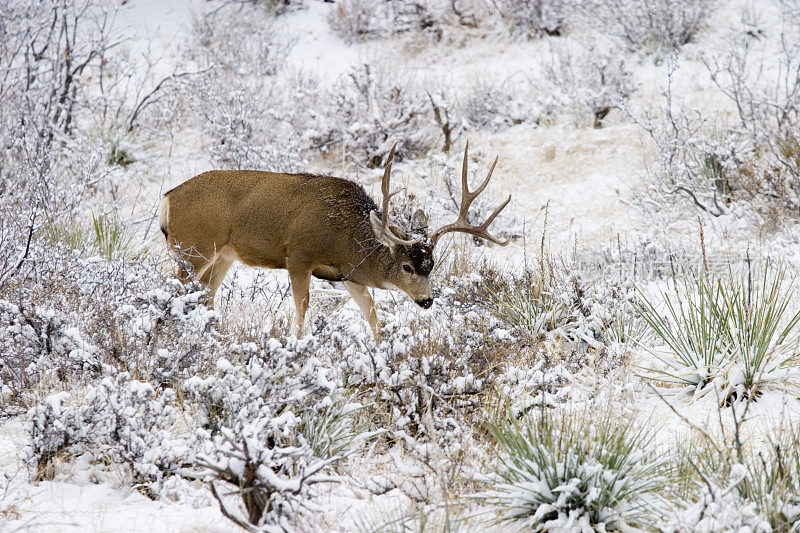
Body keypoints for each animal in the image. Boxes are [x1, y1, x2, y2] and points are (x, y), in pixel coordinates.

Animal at [159, 141, 510, 336]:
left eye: (432, 265)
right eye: (407, 267)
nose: (426, 300)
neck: (343, 237)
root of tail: (168, 198)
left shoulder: (348, 275)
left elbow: (373, 317)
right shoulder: (298, 256)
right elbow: (302, 312)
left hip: (223, 256)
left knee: (207, 295)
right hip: (193, 247)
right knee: (178, 290)